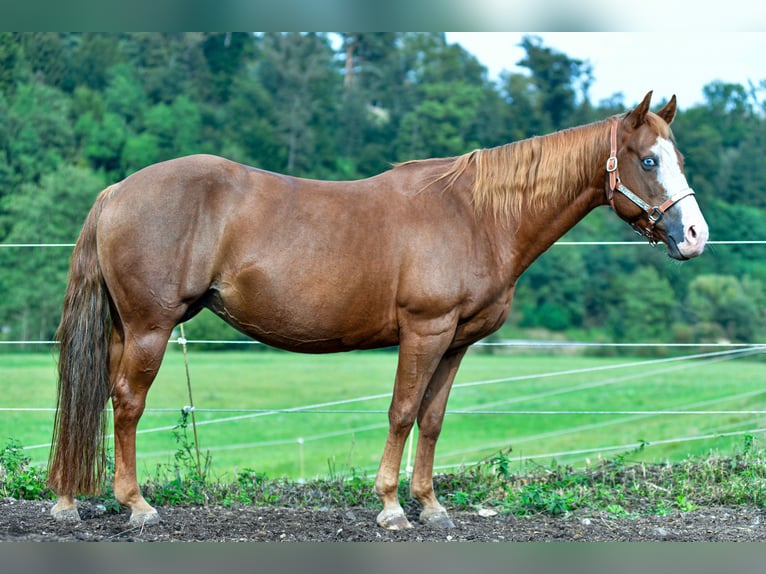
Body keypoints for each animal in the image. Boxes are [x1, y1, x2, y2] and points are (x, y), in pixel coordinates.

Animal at [48, 91, 708, 532]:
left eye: (676, 157)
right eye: (648, 160)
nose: (695, 235)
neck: (477, 215)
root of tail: (117, 191)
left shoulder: (456, 342)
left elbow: (432, 420)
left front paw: (432, 506)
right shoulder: (424, 330)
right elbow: (401, 412)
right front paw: (392, 508)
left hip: (124, 328)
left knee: (99, 397)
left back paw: (74, 499)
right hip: (150, 328)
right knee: (127, 404)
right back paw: (135, 505)